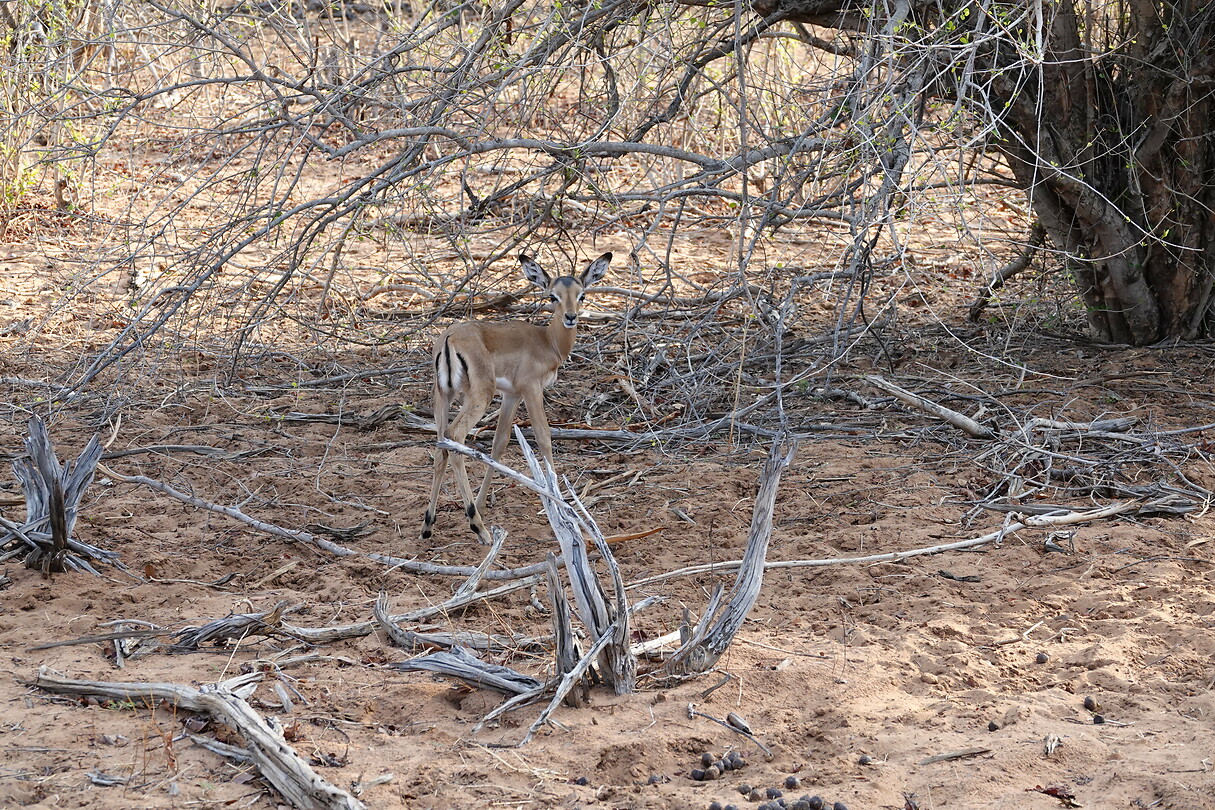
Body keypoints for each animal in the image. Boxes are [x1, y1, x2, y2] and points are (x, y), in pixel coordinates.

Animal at [422, 251, 613, 544]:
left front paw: (481, 504)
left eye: (581, 295)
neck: (548, 341)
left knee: (441, 443)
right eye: (552, 296)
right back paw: (478, 527)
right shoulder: (531, 389)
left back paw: (429, 524)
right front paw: (558, 504)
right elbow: (544, 438)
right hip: (479, 397)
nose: (570, 317)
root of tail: (450, 338)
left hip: (444, 396)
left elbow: (499, 443)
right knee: (455, 436)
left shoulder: (511, 395)